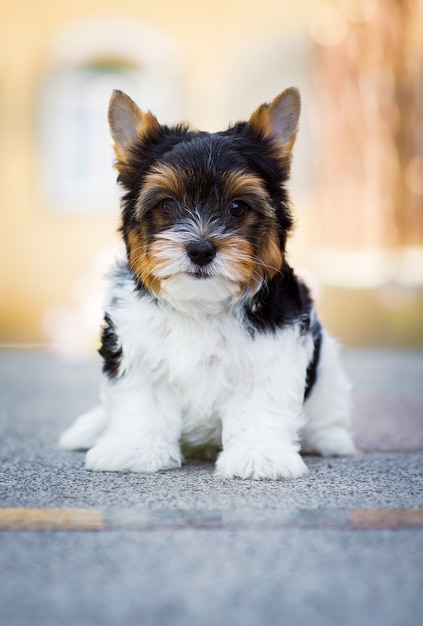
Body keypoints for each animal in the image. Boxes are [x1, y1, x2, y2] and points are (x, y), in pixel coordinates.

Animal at [59, 86, 356, 478]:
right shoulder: (134, 348)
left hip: (329, 370)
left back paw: (329, 438)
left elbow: (261, 401)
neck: (201, 304)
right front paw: (134, 448)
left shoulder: (275, 348)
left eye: (237, 207)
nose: (201, 249)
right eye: (167, 206)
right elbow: (141, 400)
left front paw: (259, 455)